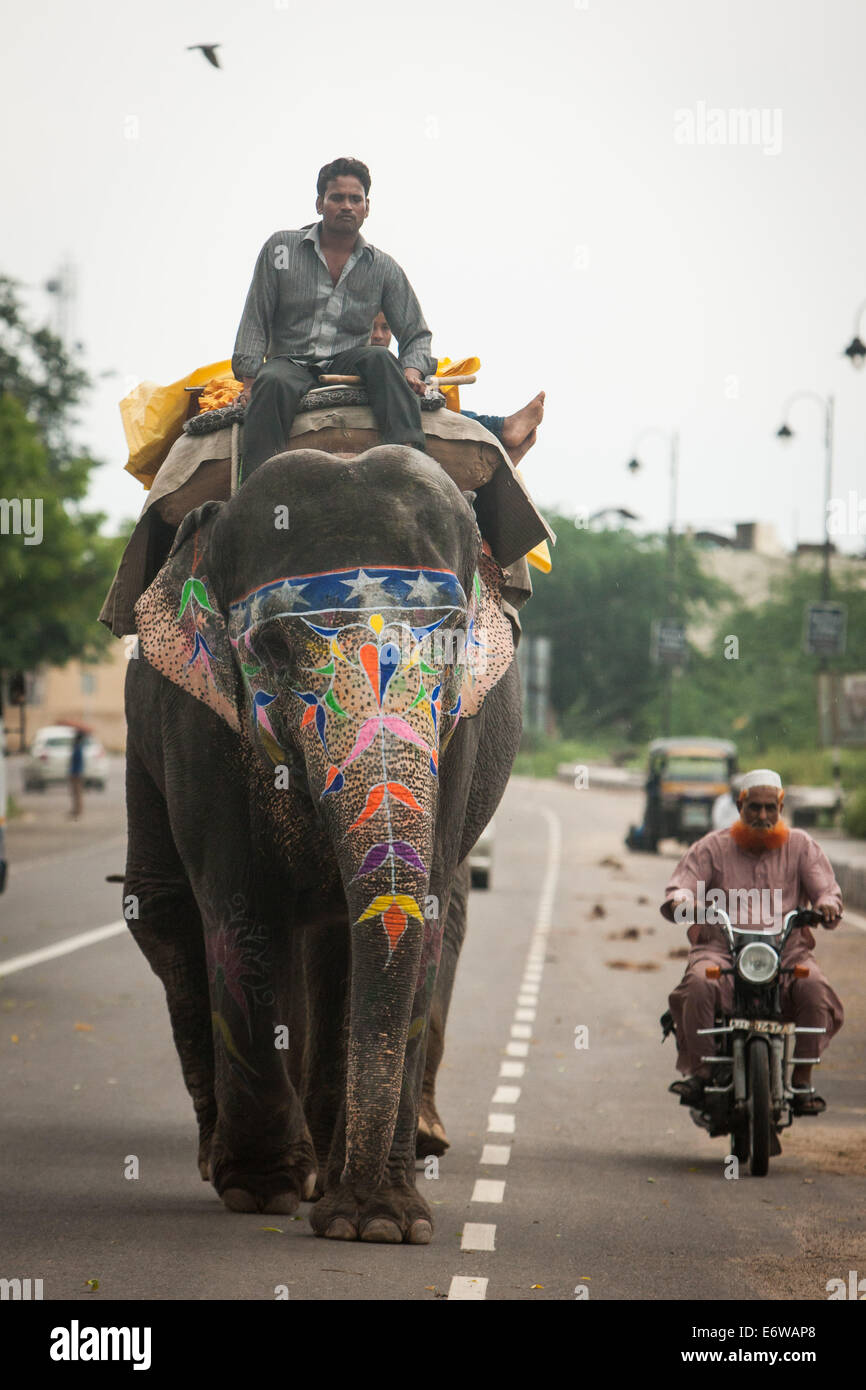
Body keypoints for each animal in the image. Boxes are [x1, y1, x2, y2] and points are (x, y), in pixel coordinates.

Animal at [126, 442, 522, 1239]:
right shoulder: (197, 718)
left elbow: (423, 907)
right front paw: (264, 1190)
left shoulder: (460, 732)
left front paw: (381, 1224)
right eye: (275, 646)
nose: (359, 1212)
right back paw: (236, 1162)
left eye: (453, 639)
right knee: (163, 910)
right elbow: (241, 908)